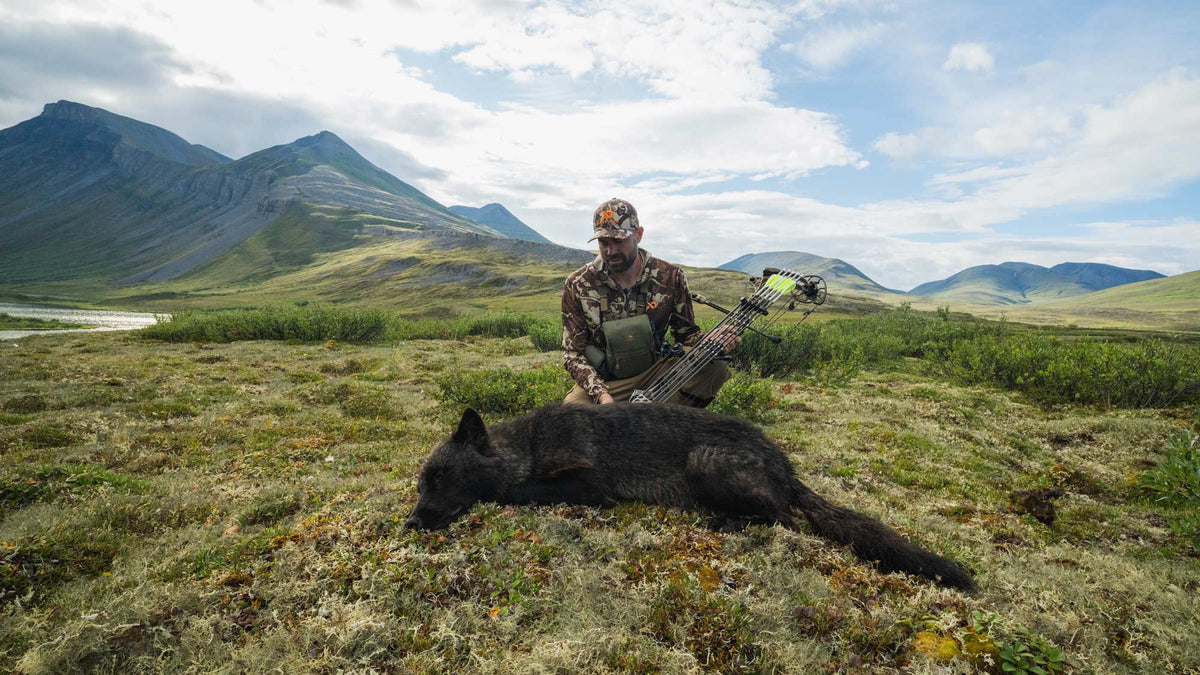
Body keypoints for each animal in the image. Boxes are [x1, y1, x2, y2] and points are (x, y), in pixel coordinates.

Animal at [405, 404, 977, 592]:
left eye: (443, 477)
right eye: (421, 483)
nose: (409, 524)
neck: (526, 444)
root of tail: (784, 463)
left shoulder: (588, 485)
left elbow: (522, 490)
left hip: (706, 463)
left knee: (781, 516)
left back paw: (726, 521)